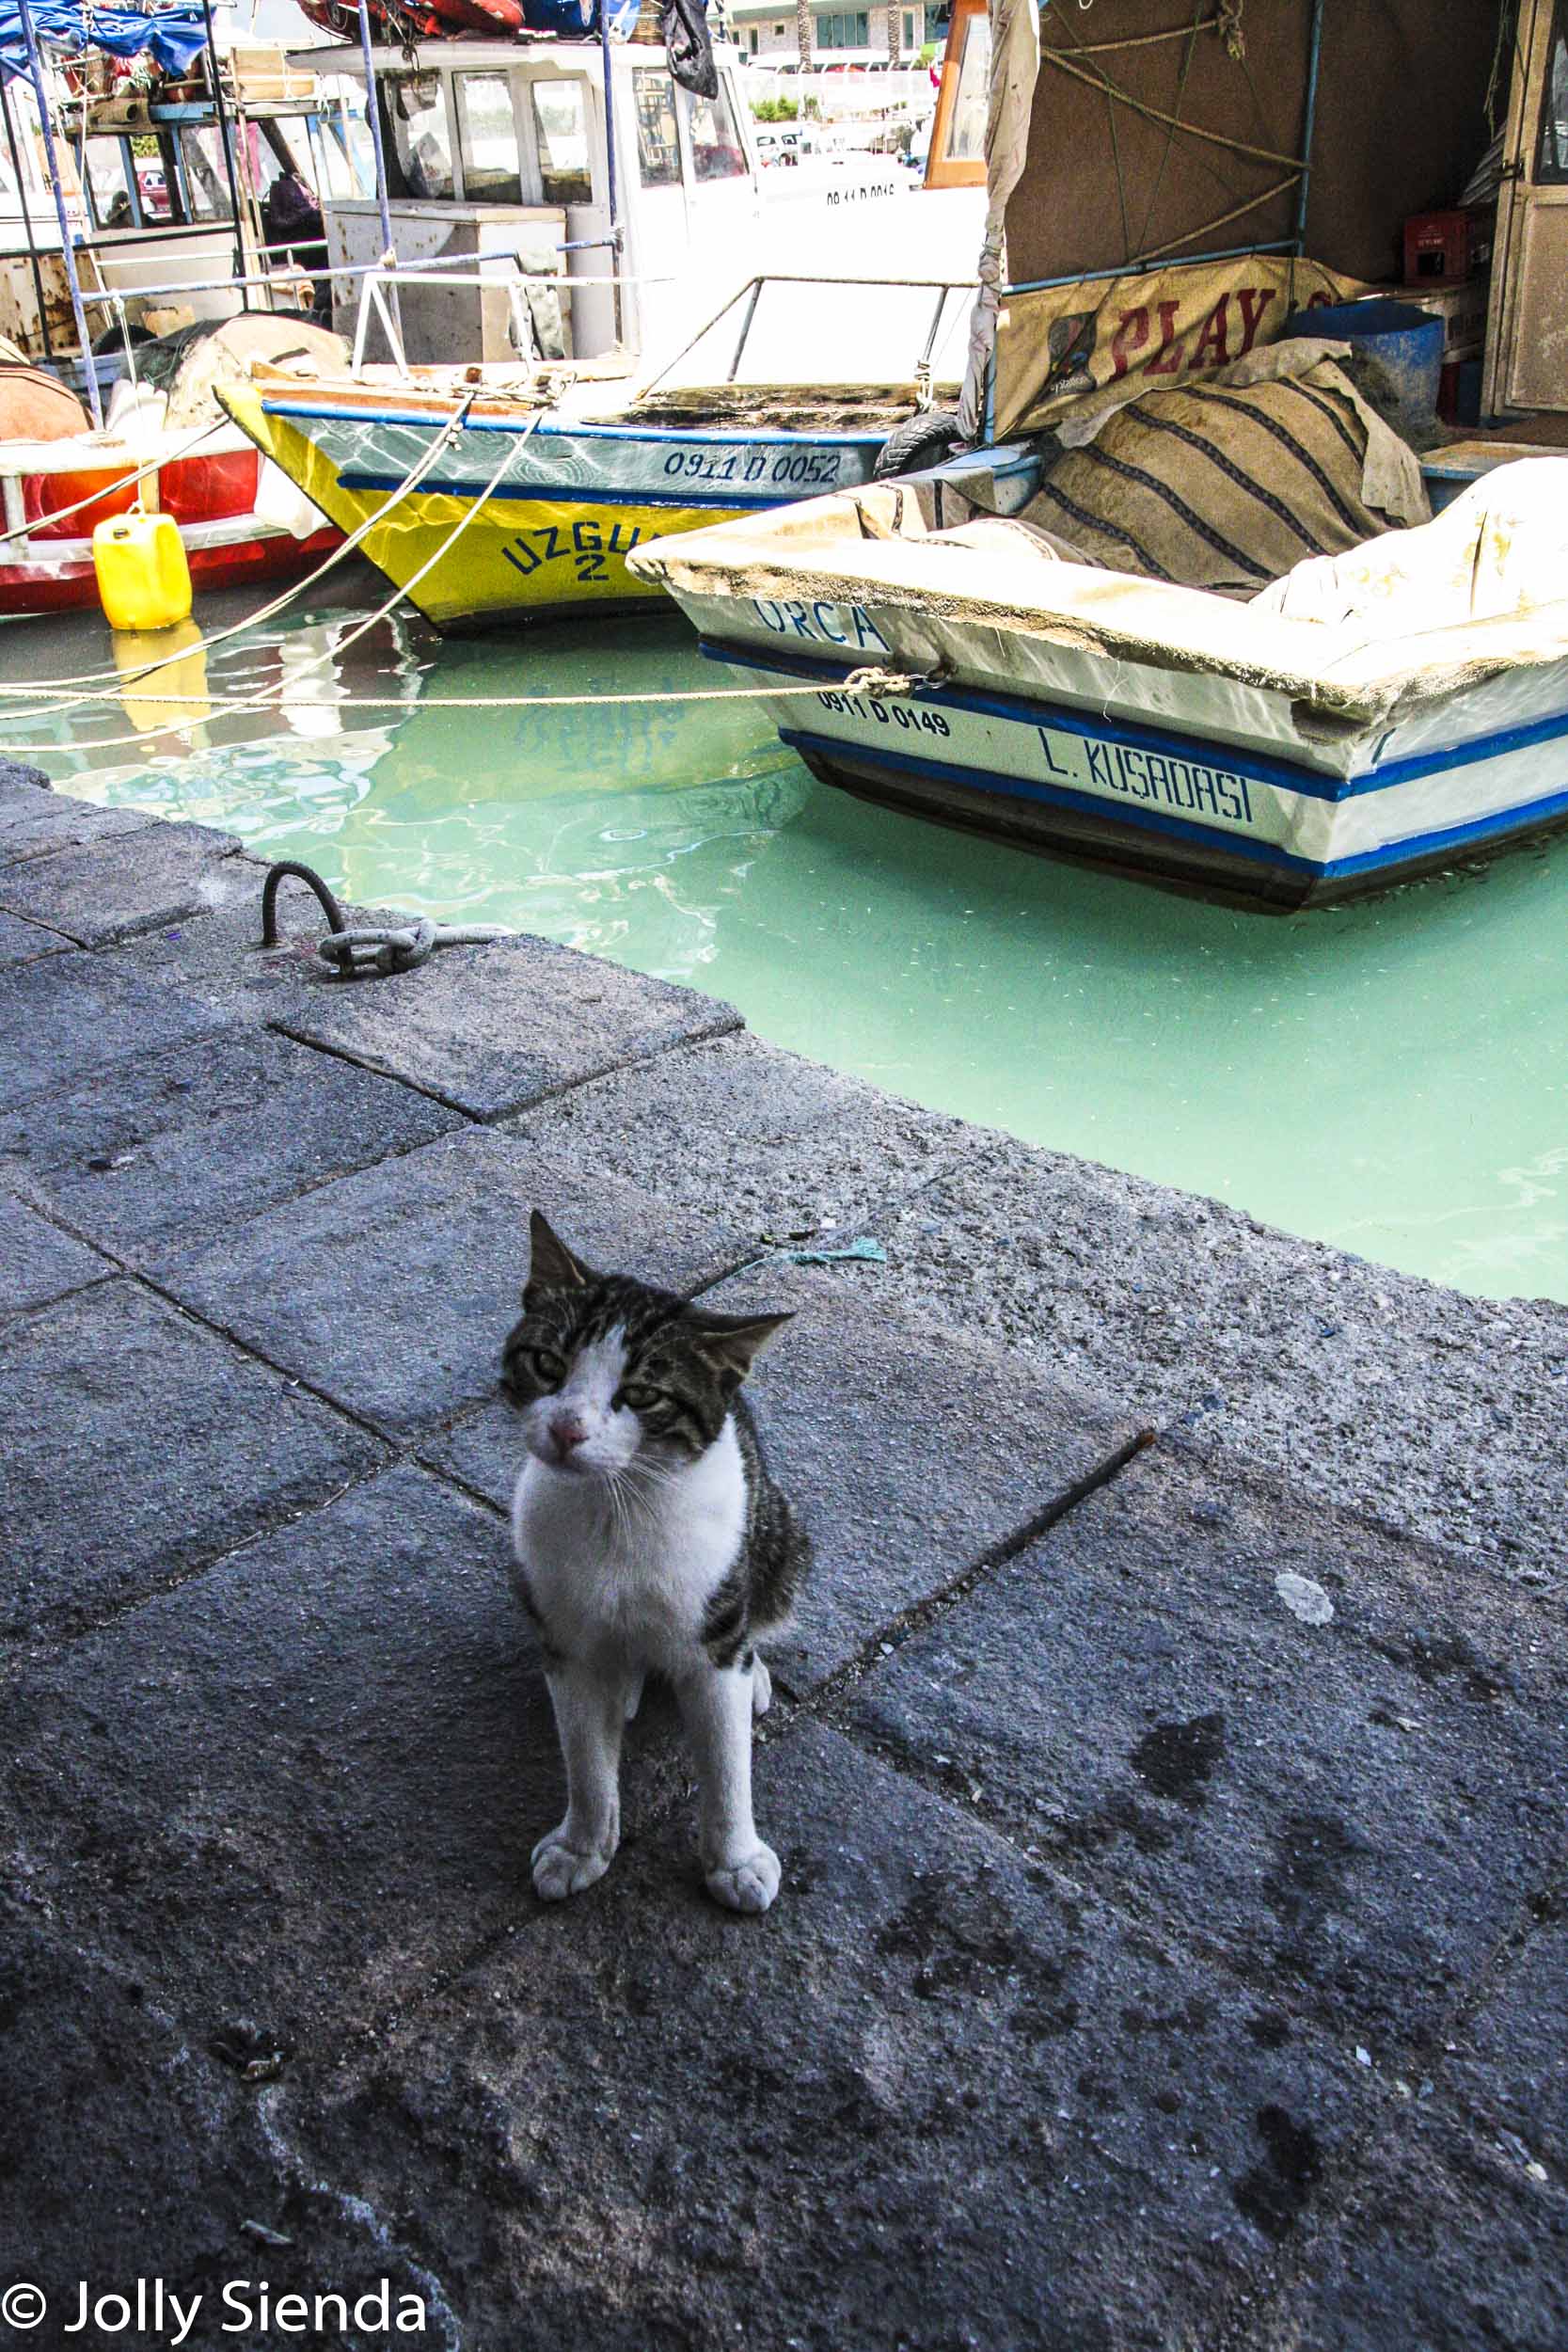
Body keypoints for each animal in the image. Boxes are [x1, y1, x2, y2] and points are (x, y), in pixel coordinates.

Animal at [510, 1214, 817, 1910]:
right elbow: (585, 1759)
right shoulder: (562, 1635)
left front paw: (735, 1860)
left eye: (643, 1393)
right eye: (547, 1363)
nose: (567, 1429)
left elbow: (727, 1762)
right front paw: (582, 1845)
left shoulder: (713, 1633)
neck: (617, 1510)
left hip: (782, 1538)